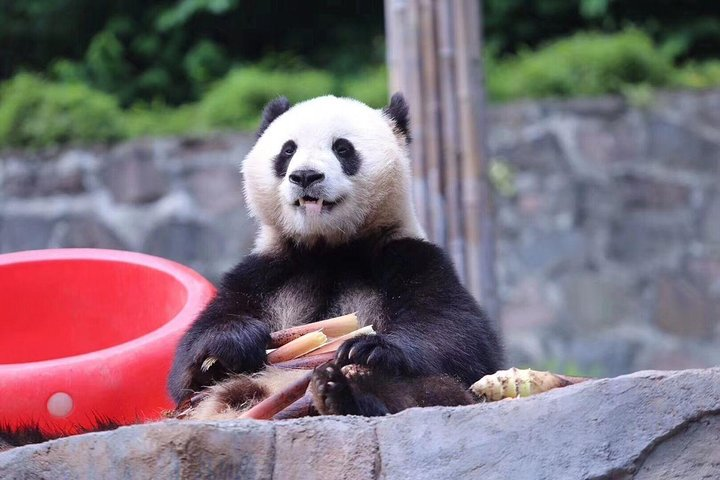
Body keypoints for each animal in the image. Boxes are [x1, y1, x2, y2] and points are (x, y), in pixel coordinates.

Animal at [169, 93, 504, 418]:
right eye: (288, 150)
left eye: (342, 148)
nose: (305, 176)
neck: (329, 247)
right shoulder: (263, 272)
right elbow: (188, 367)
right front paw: (236, 340)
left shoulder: (409, 257)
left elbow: (460, 337)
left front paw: (368, 348)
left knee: (431, 388)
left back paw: (343, 395)